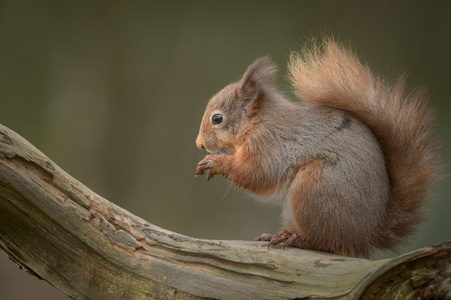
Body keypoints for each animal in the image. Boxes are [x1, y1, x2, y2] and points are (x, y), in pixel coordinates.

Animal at [193, 38, 438, 258]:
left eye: (217, 118)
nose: (199, 144)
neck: (257, 120)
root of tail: (367, 236)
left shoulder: (269, 144)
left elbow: (258, 175)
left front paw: (215, 162)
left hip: (315, 189)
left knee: (328, 244)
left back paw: (294, 239)